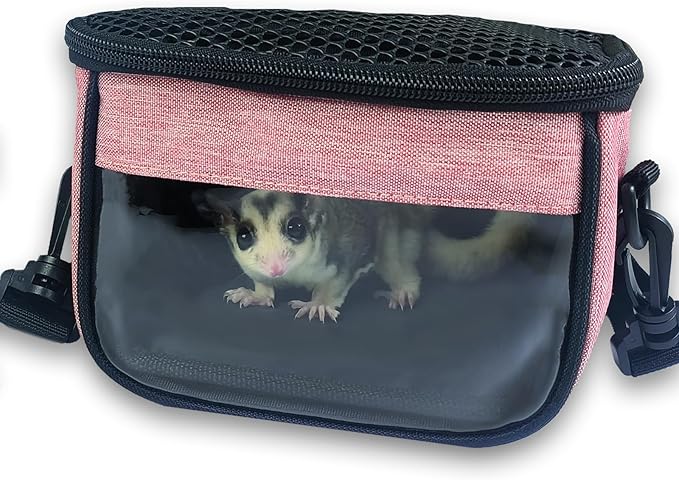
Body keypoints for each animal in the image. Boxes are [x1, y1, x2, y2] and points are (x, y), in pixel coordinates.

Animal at [196, 188, 376, 322]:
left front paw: (319, 305)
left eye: (296, 227)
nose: (276, 268)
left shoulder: (342, 248)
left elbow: (340, 277)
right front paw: (256, 296)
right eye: (244, 237)